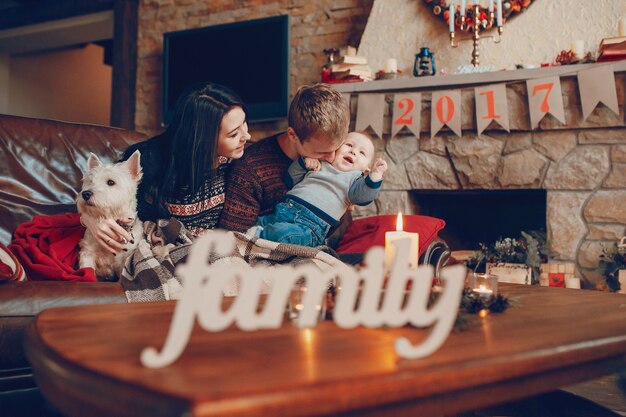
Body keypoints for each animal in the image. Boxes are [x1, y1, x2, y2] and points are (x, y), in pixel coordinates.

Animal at [77, 150, 143, 280]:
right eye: (90, 181)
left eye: (111, 182)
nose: (85, 194)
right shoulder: (88, 251)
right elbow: (87, 269)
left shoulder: (125, 260)